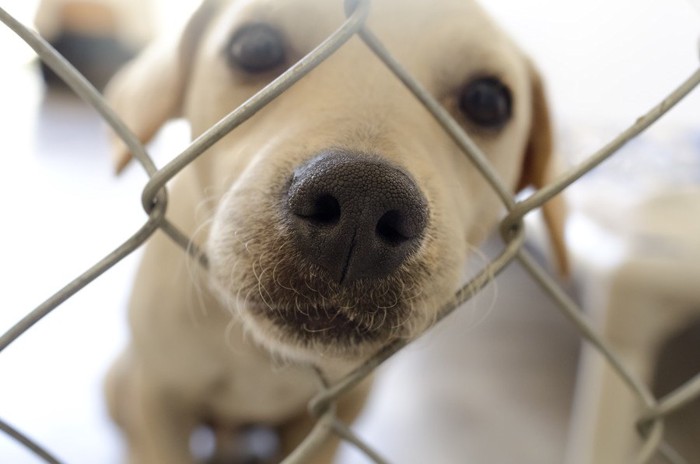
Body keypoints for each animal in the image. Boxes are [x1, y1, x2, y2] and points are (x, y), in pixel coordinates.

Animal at [102, 1, 564, 462]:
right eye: (256, 47)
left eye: (486, 100)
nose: (363, 201)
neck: (261, 354)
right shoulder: (160, 397)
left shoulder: (338, 413)